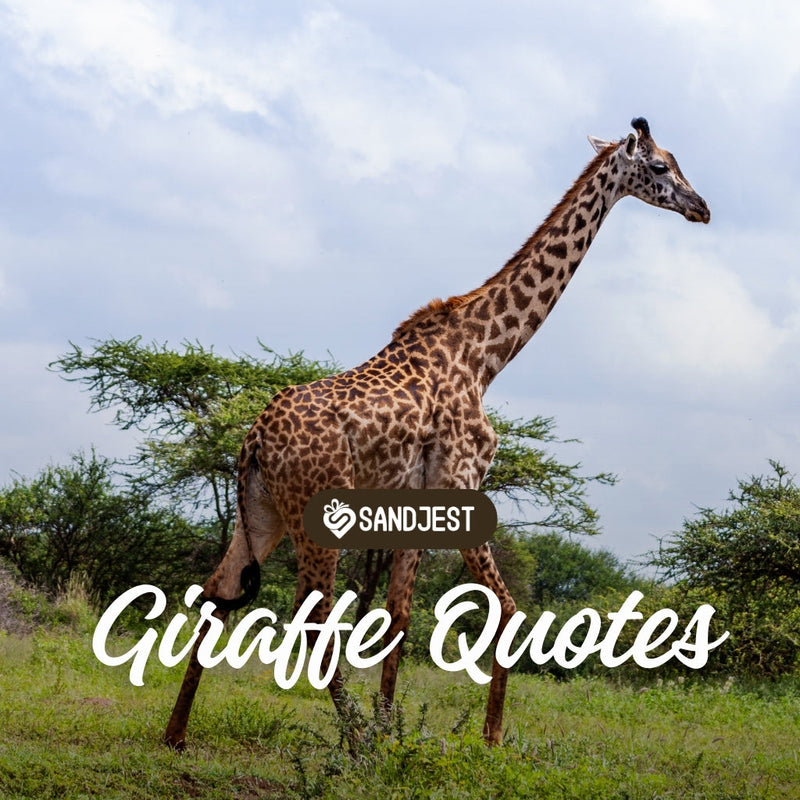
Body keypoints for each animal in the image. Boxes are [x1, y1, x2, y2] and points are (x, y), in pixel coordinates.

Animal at [164, 117, 709, 749]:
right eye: (661, 166)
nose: (702, 207)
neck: (486, 355)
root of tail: (253, 440)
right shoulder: (462, 484)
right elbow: (507, 610)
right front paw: (488, 740)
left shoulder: (418, 503)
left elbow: (399, 617)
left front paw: (390, 730)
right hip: (313, 518)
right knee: (311, 616)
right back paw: (352, 741)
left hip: (263, 511)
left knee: (218, 591)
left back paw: (177, 735)